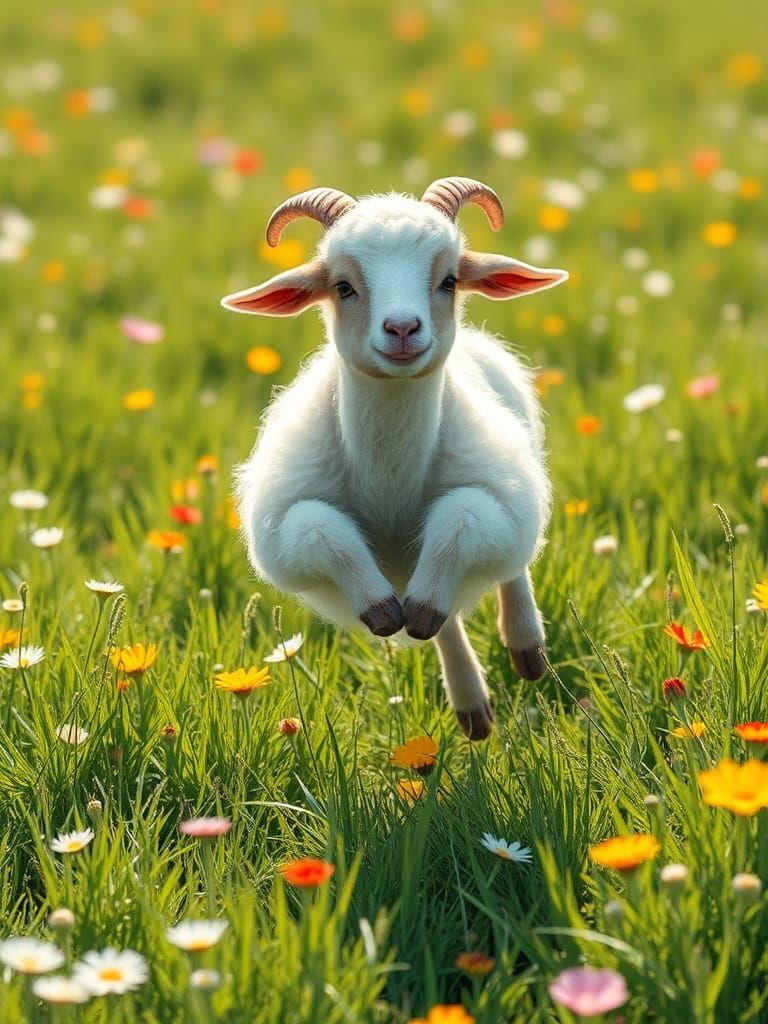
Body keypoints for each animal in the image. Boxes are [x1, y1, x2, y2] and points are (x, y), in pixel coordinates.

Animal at [221, 177, 567, 740]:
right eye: (343, 287)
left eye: (449, 280)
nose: (403, 329)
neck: (389, 473)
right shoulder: (283, 524)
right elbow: (321, 528)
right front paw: (382, 610)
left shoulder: (494, 493)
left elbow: (463, 516)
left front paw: (422, 609)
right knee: (445, 624)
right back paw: (472, 707)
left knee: (513, 561)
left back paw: (526, 647)